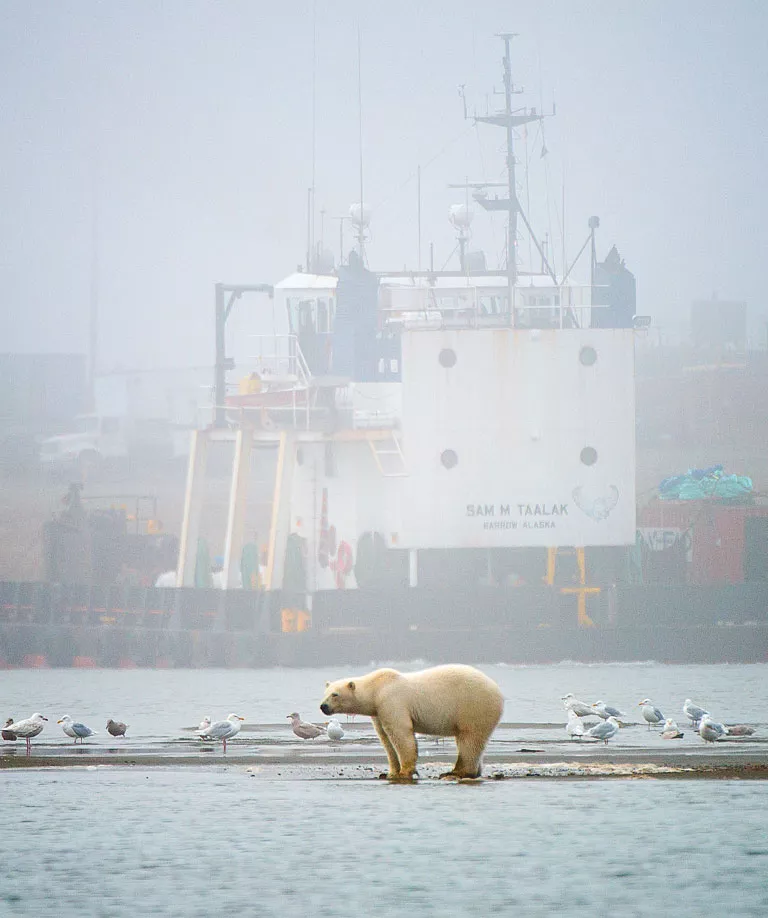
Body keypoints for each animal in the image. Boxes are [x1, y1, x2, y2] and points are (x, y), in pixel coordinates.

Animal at [320, 664, 504, 781]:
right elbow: (385, 737)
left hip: (473, 706)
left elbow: (400, 733)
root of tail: (498, 691)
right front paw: (390, 772)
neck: (376, 688)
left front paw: (405, 772)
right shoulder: (378, 711)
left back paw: (456, 772)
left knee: (469, 739)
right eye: (326, 693)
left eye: (335, 694)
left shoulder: (391, 701)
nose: (323, 706)